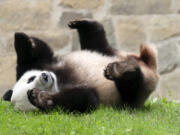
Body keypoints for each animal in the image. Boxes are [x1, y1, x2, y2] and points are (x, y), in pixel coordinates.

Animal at [2, 18, 158, 112]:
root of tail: (150, 68)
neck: (59, 80)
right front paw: (41, 98)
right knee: (131, 87)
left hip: (112, 53)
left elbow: (36, 55)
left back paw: (83, 24)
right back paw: (120, 71)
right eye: (34, 85)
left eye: (30, 79)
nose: (45, 76)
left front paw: (21, 38)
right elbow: (86, 99)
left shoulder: (44, 64)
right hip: (133, 96)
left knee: (96, 41)